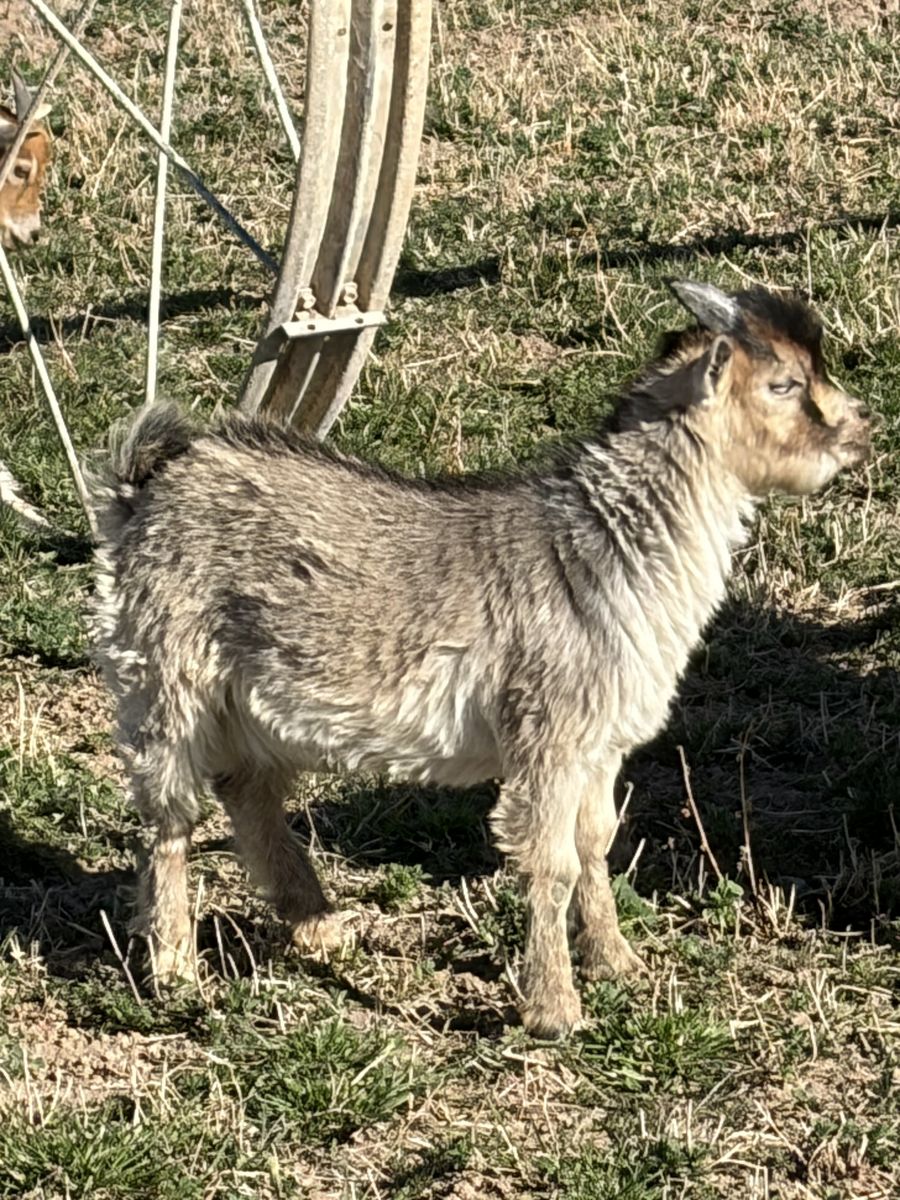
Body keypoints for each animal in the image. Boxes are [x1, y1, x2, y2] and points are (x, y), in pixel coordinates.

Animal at [91, 280, 870, 1038]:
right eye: (783, 383)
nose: (859, 428)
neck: (602, 549)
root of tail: (146, 487)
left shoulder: (600, 742)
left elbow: (596, 843)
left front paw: (618, 963)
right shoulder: (548, 734)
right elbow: (552, 863)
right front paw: (555, 1010)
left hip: (250, 700)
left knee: (248, 791)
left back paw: (319, 925)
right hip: (164, 671)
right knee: (171, 817)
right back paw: (176, 968)